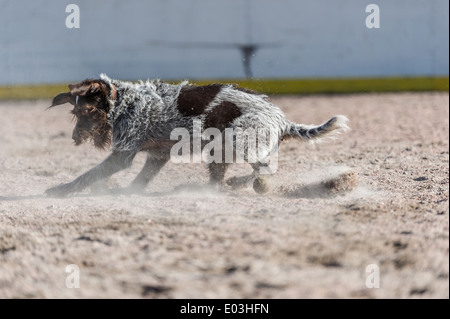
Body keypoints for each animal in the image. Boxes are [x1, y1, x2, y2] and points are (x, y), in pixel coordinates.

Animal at [44, 74, 348, 198]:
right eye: (75, 113)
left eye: (88, 112)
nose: (75, 138)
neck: (125, 101)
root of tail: (283, 120)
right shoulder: (157, 155)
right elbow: (141, 179)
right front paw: (129, 191)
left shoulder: (122, 155)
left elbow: (87, 176)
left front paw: (62, 190)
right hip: (220, 151)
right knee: (222, 179)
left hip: (238, 140)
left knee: (264, 170)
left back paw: (247, 183)